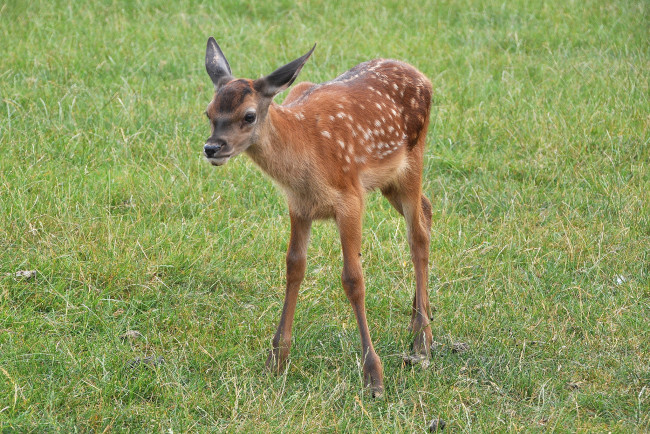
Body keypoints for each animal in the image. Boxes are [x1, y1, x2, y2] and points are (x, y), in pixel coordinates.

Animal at [201, 37, 430, 396]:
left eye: (248, 116)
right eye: (209, 112)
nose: (212, 148)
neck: (306, 158)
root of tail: (422, 76)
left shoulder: (350, 198)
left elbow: (353, 279)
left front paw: (374, 376)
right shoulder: (299, 205)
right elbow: (294, 266)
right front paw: (276, 359)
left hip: (412, 160)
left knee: (417, 235)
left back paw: (421, 341)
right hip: (389, 181)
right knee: (428, 210)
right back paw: (421, 319)